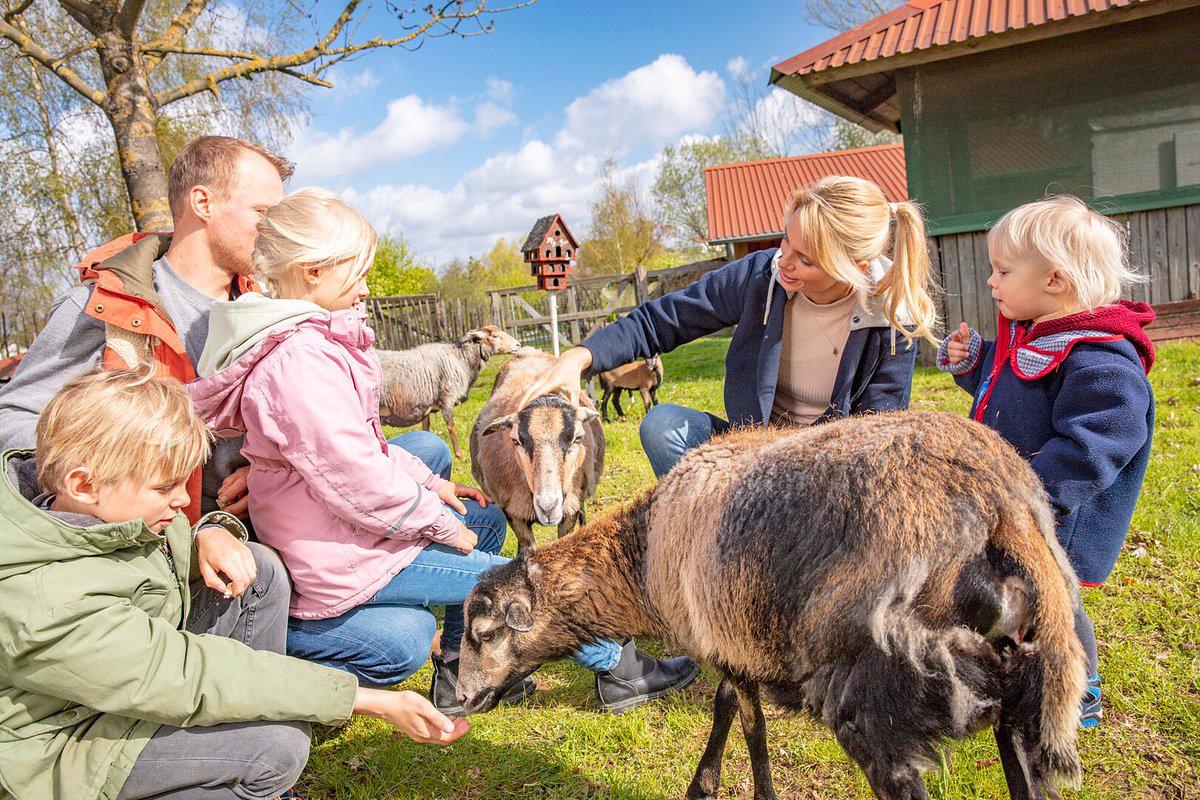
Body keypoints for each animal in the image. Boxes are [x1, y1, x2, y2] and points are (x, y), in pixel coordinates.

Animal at [451, 412, 1089, 800]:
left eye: (482, 631)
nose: (462, 699)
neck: (641, 555)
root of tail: (1003, 503)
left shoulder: (727, 642)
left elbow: (748, 724)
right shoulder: (732, 638)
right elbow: (727, 709)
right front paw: (706, 782)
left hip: (880, 699)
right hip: (1020, 694)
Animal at [465, 352, 600, 556]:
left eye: (578, 438)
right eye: (515, 441)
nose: (548, 507)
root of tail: (529, 351)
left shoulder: (569, 510)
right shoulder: (511, 510)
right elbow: (528, 547)